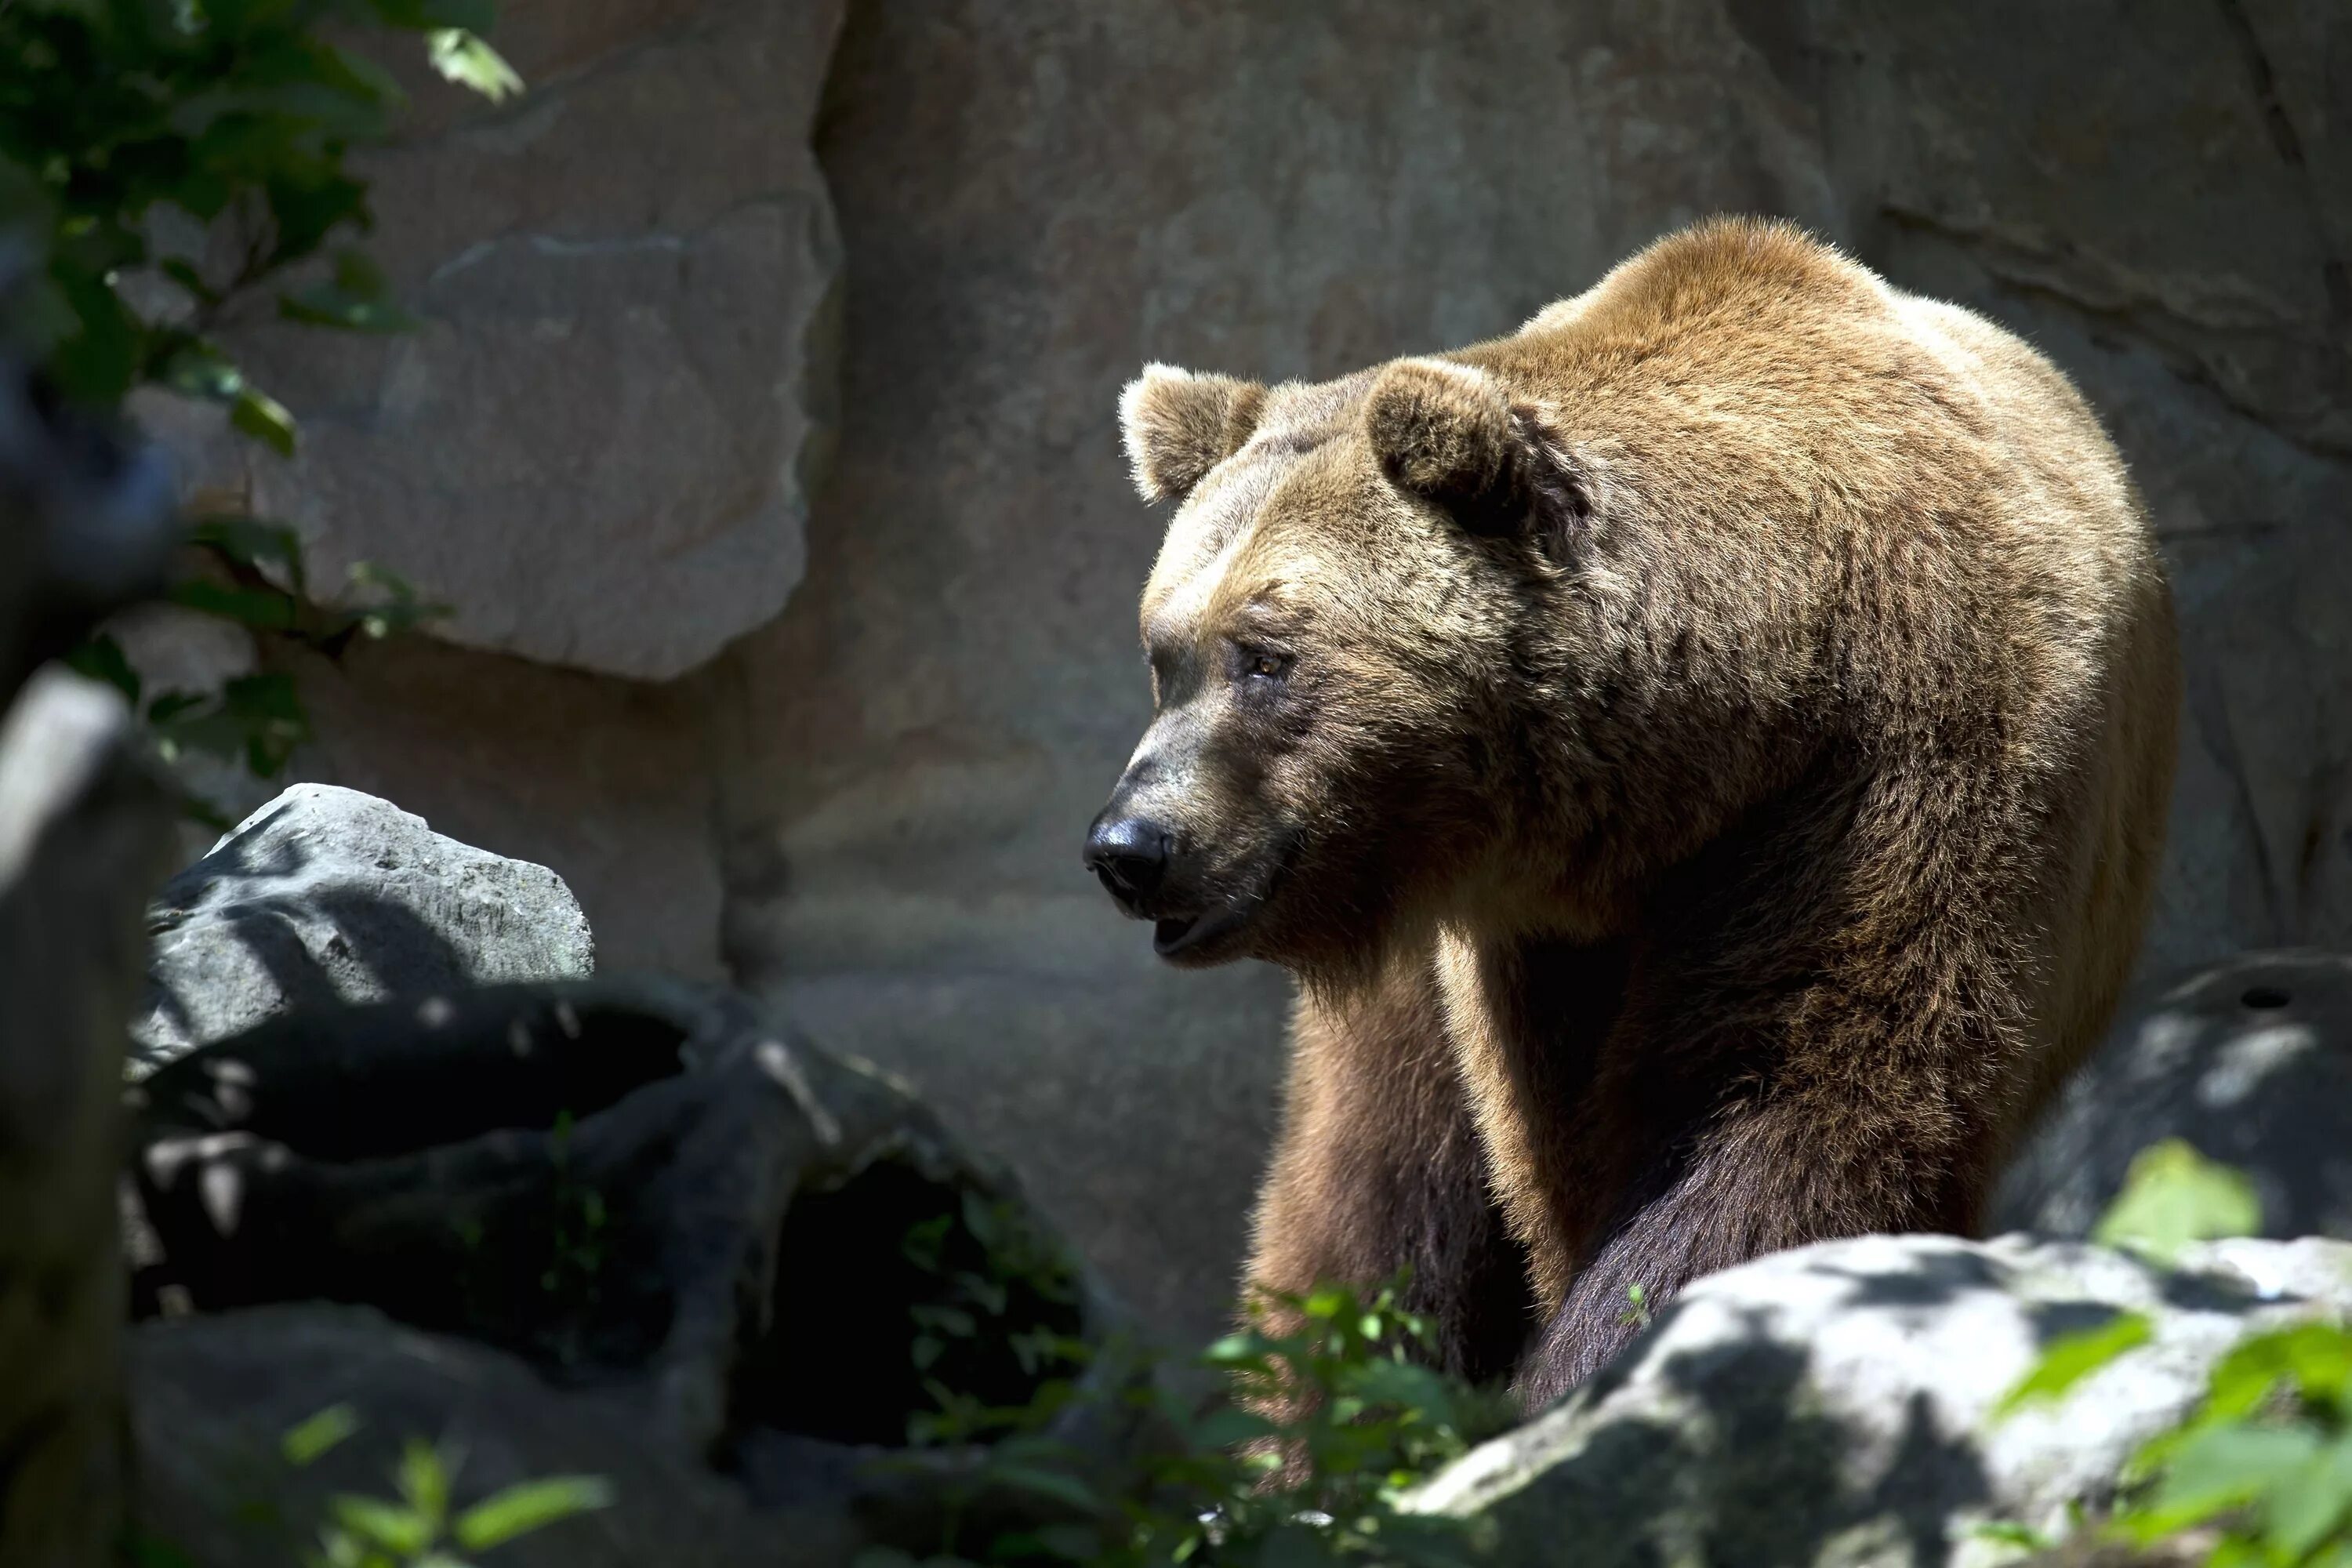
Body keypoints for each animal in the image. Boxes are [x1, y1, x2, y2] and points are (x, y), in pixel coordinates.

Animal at [1091, 217, 2173, 1410]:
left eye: (1266, 657)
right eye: (1165, 655)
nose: (1130, 847)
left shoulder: (1886, 773)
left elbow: (1783, 1102)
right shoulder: (1523, 947)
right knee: (1371, 1190)